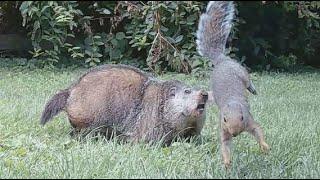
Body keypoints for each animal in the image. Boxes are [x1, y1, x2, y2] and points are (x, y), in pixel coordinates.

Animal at [195, 0, 270, 168]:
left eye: (242, 117)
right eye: (224, 119)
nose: (235, 133)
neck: (233, 102)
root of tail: (221, 60)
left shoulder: (250, 121)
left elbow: (258, 130)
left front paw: (264, 146)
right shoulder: (223, 130)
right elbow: (225, 144)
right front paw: (227, 163)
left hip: (241, 72)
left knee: (248, 81)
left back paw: (253, 89)